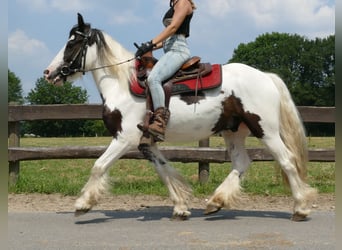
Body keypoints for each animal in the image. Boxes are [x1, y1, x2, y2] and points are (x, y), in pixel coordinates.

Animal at [44, 13, 316, 221]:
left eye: (71, 44)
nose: (48, 72)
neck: (122, 84)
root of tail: (266, 76)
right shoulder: (146, 142)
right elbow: (164, 170)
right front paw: (181, 206)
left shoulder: (124, 138)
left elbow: (98, 166)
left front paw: (83, 204)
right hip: (233, 131)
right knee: (241, 163)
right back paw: (215, 202)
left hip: (266, 130)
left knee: (287, 161)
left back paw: (301, 208)